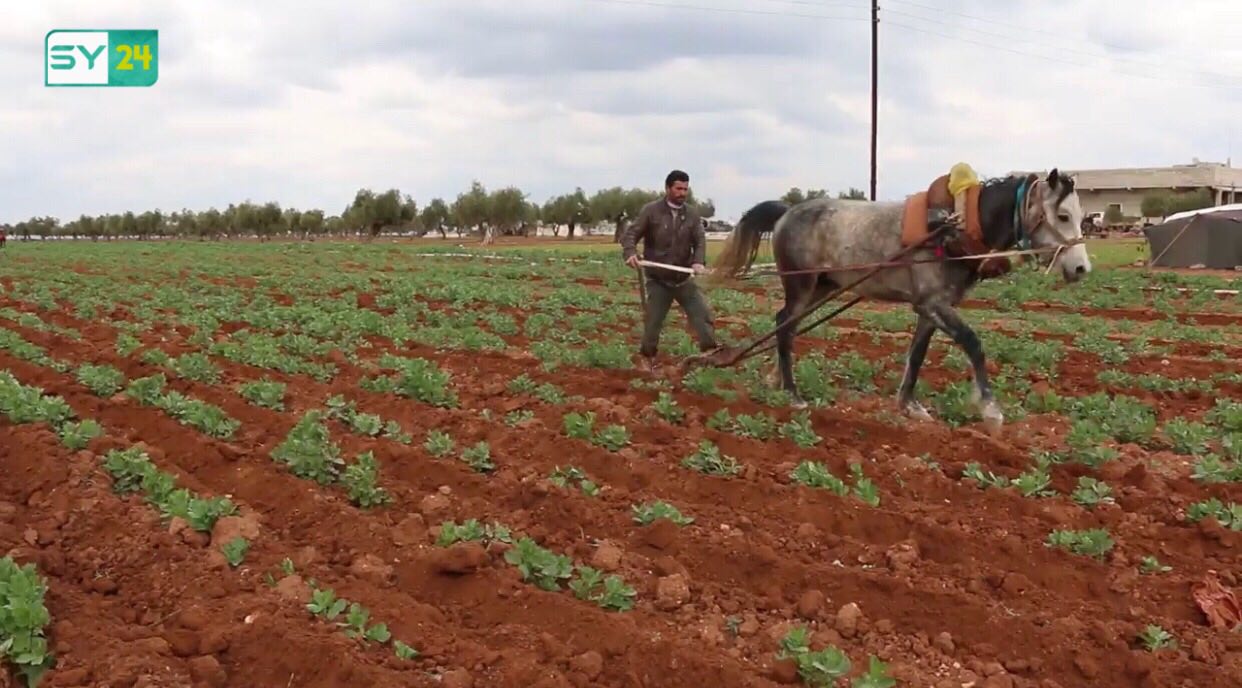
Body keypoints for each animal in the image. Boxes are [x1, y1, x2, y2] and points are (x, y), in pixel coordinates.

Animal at [715, 170, 1092, 427]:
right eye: (1062, 215)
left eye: (1081, 215)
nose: (1081, 268)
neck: (953, 227)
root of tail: (786, 213)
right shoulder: (932, 303)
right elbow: (973, 344)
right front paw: (990, 408)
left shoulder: (931, 308)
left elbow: (917, 354)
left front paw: (909, 405)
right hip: (801, 285)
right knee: (784, 325)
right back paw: (793, 394)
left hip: (821, 287)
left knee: (786, 326)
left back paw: (778, 379)